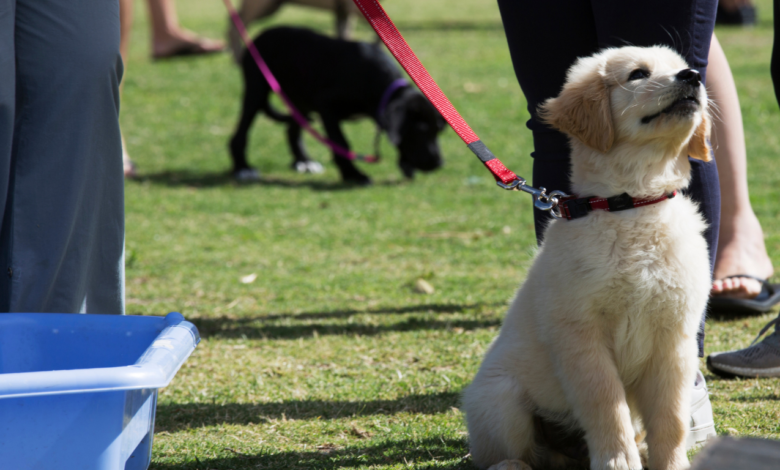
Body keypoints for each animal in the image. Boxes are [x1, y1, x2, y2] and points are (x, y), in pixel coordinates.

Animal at [229, 25, 444, 184]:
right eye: (421, 130)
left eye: (438, 131)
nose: (439, 163)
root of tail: (261, 35)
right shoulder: (327, 107)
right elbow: (341, 142)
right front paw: (353, 175)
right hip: (256, 90)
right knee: (240, 133)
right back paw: (243, 168)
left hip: (301, 102)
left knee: (292, 130)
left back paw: (304, 161)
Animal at [464, 46, 712, 470]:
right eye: (638, 74)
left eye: (682, 66)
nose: (692, 76)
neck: (632, 206)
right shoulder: (581, 336)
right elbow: (605, 405)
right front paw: (617, 462)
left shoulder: (675, 338)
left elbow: (672, 418)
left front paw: (670, 463)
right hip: (500, 400)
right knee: (511, 452)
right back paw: (516, 464)